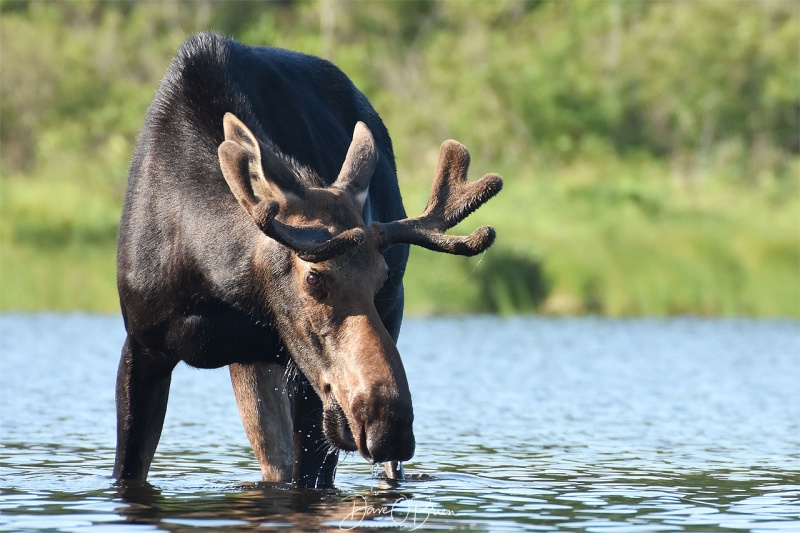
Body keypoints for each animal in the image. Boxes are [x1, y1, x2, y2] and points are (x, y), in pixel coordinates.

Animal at [114, 30, 500, 486]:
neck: (215, 278)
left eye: (380, 276)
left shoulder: (304, 378)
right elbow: (127, 470)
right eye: (314, 277)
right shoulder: (142, 345)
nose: (391, 425)